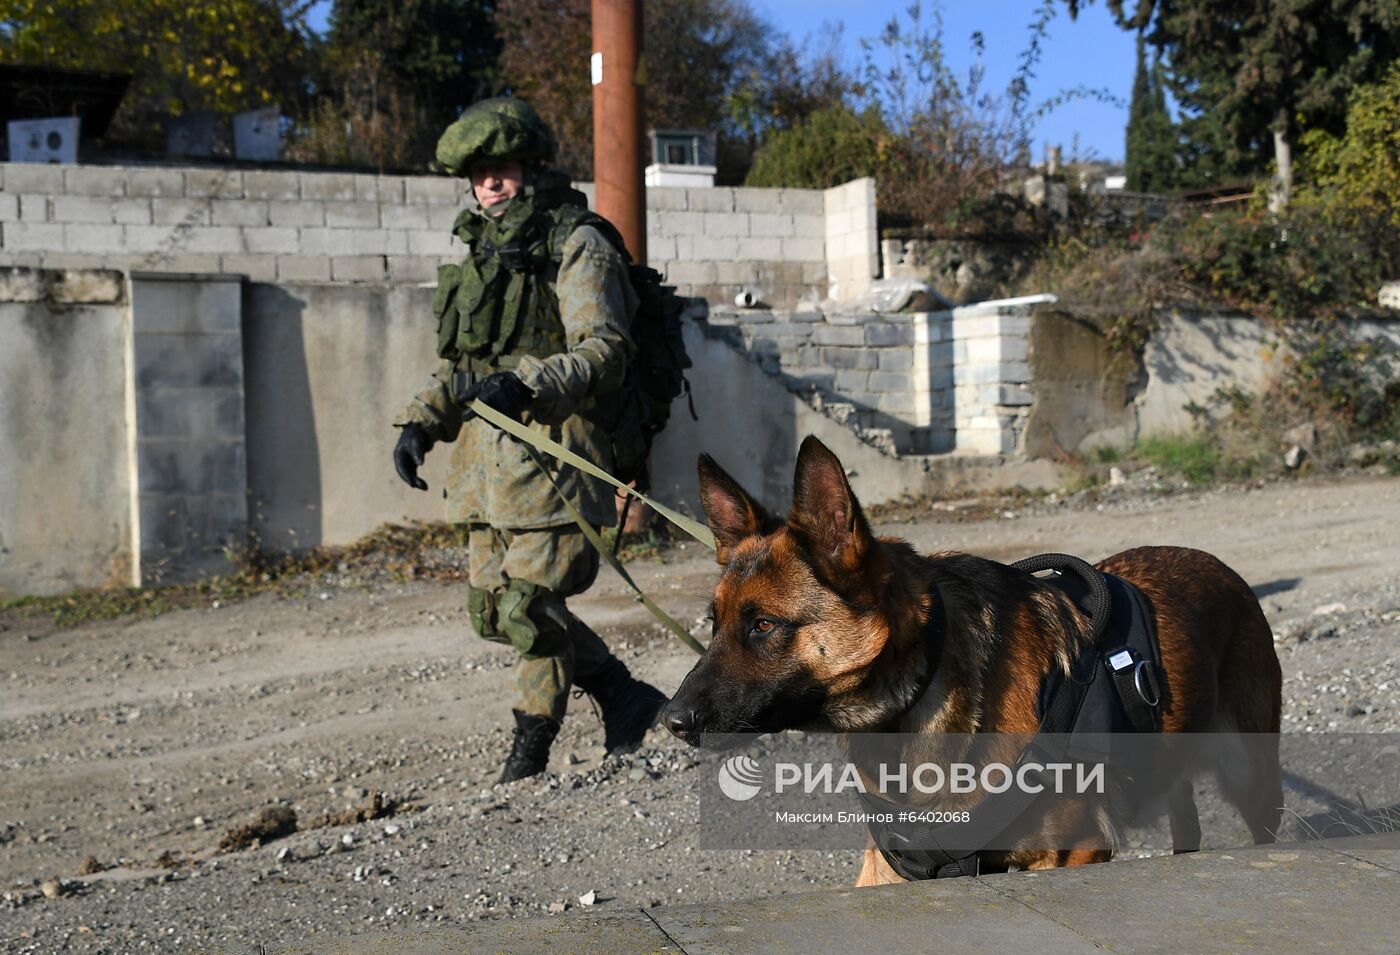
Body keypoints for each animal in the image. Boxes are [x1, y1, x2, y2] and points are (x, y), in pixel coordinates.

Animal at [660, 434, 1282, 879]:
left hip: (1253, 781)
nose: (671, 720)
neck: (914, 696)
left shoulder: (1073, 853)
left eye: (764, 626)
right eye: (713, 625)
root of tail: (1218, 565)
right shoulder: (895, 867)